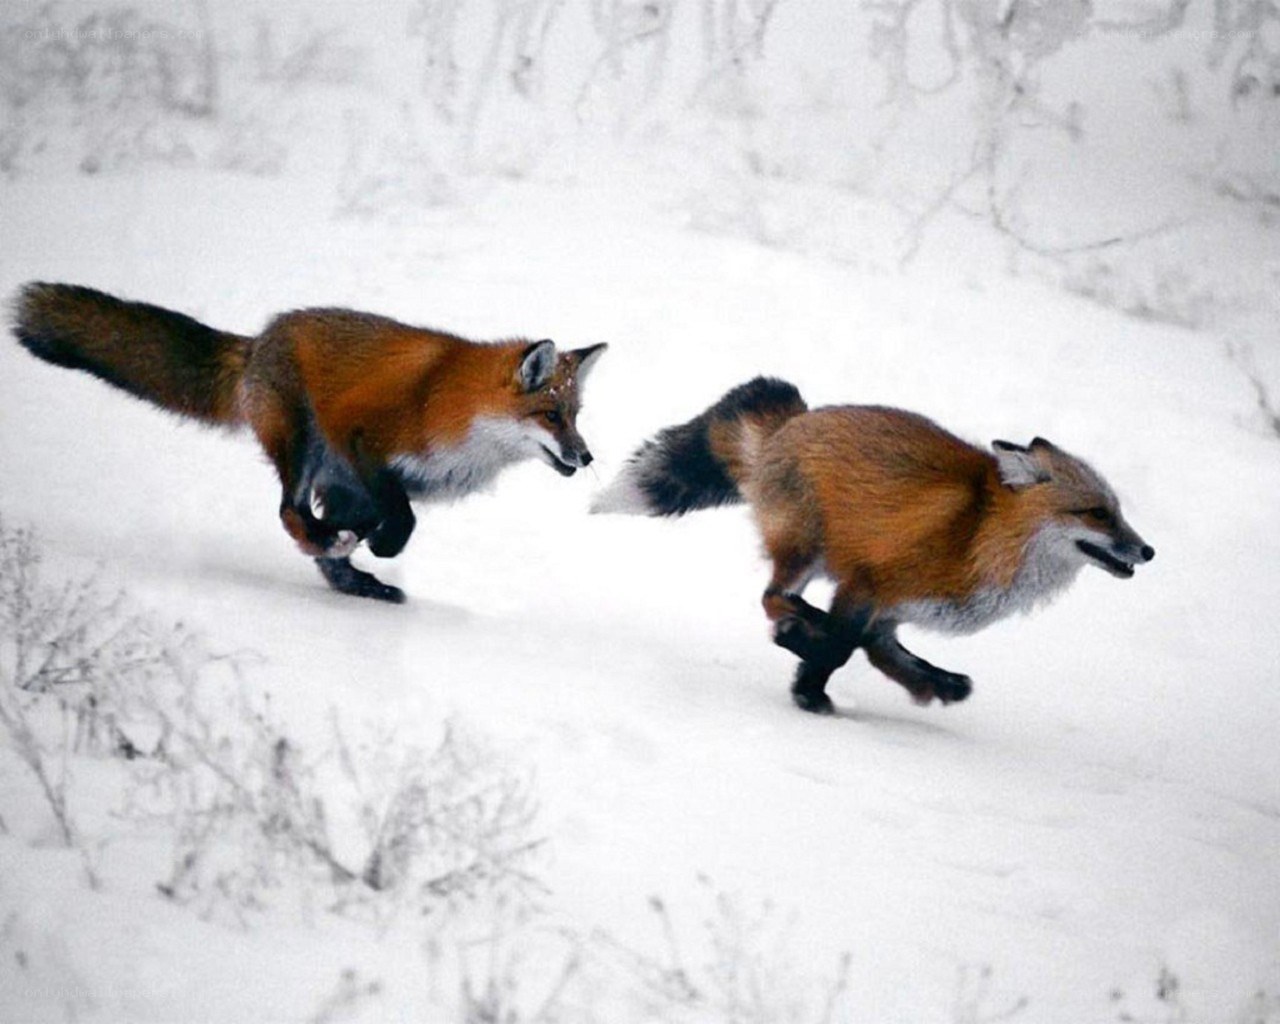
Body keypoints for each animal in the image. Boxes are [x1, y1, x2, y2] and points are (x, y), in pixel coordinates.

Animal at [12, 282, 606, 603]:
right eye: (551, 415)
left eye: (576, 417)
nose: (586, 456)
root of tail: (259, 340)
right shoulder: (359, 435)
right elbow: (402, 516)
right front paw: (380, 545)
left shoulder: (377, 485)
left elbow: (389, 519)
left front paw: (371, 551)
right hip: (303, 444)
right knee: (289, 513)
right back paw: (332, 545)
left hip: (329, 474)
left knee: (318, 543)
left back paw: (359, 579)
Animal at [592, 377, 1154, 714]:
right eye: (1097, 513)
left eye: (1118, 510)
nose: (1148, 552)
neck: (982, 534)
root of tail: (794, 421)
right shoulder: (868, 583)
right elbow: (843, 647)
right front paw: (809, 691)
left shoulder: (894, 609)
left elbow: (885, 653)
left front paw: (934, 684)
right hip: (806, 549)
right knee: (774, 598)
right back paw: (802, 627)